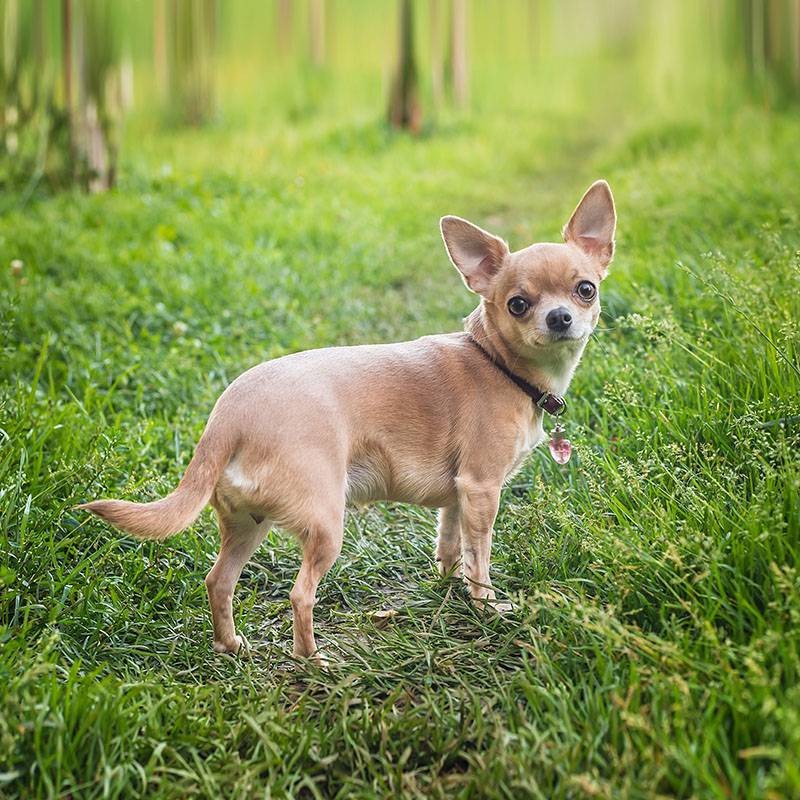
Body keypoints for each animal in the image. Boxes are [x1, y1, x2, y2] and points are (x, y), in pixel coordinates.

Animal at [81, 181, 616, 664]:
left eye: (585, 290)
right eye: (518, 304)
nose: (561, 317)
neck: (497, 362)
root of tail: (228, 415)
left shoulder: (459, 494)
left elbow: (450, 543)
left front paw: (447, 588)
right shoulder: (482, 488)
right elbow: (479, 557)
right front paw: (486, 607)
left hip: (247, 524)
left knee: (219, 580)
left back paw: (230, 646)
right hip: (324, 524)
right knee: (300, 594)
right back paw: (312, 660)